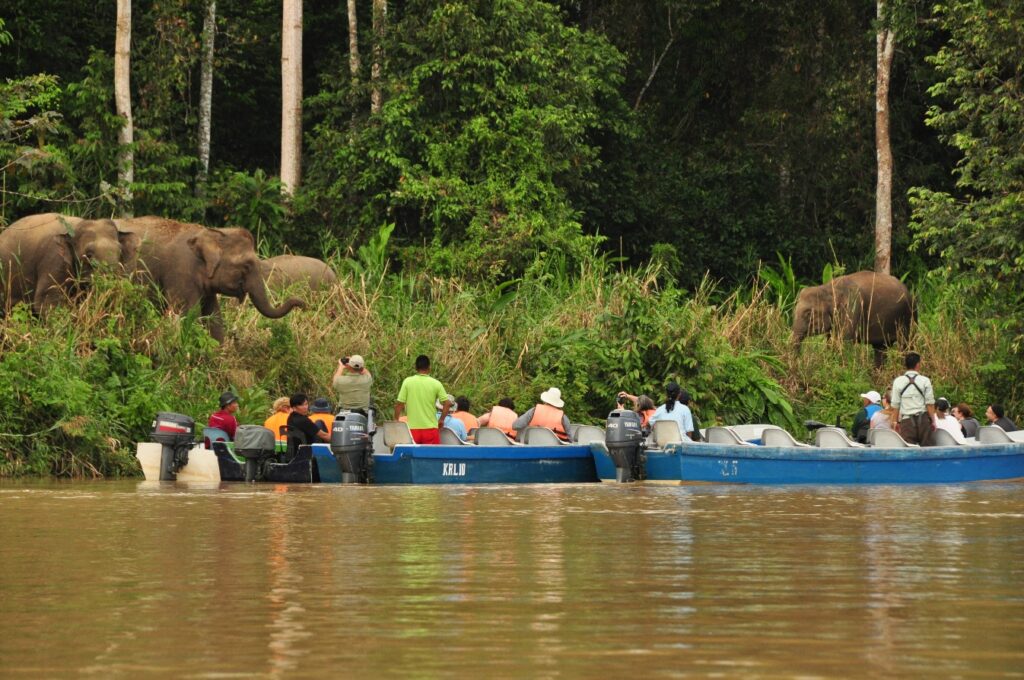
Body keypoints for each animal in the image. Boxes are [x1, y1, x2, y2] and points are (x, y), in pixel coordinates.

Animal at [115, 217, 303, 341]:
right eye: (246, 266)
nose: (302, 304)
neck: (212, 231)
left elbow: (214, 319)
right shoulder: (182, 273)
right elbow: (188, 315)